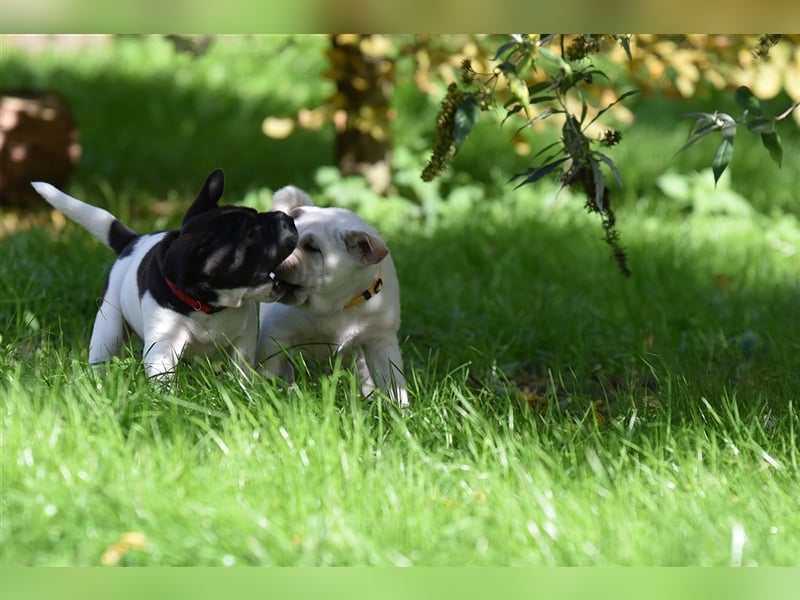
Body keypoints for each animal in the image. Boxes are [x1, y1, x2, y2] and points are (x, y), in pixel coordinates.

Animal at [29, 169, 300, 382]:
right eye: (251, 233)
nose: (286, 218)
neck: (208, 305)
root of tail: (133, 240)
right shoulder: (163, 347)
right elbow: (163, 378)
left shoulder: (243, 339)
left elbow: (241, 371)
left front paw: (244, 393)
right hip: (109, 323)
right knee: (102, 350)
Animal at [256, 185, 406, 406]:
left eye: (312, 248)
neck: (336, 306)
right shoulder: (275, 334)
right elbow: (268, 370)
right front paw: (264, 396)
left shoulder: (380, 340)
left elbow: (394, 382)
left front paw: (401, 410)